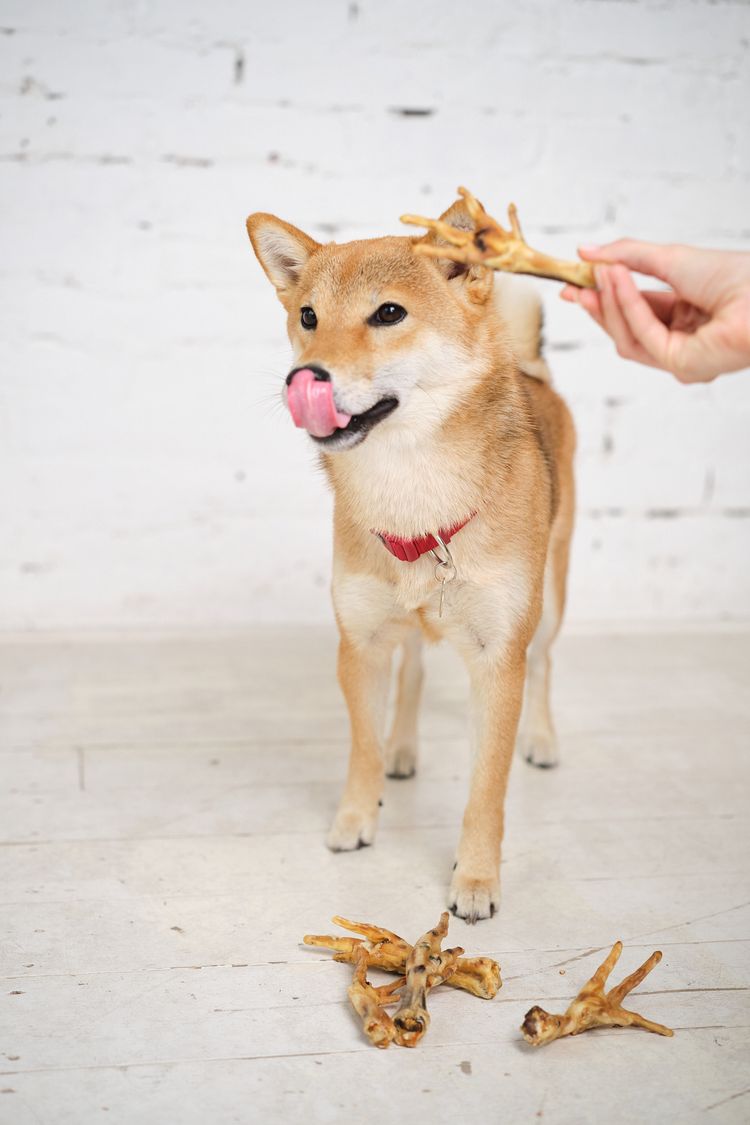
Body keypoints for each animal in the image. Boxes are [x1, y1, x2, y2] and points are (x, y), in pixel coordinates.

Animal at [246, 195, 575, 922]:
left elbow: (486, 789)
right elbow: (362, 744)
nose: (303, 378)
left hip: (550, 600)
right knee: (416, 670)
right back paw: (403, 747)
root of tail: (530, 370)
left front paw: (475, 878)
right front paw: (355, 818)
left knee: (545, 664)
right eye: (308, 317)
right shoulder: (360, 640)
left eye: (388, 314)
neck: (413, 501)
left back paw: (542, 740)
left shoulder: (498, 659)